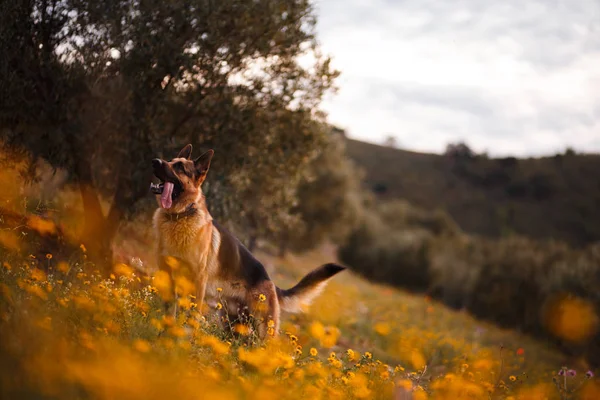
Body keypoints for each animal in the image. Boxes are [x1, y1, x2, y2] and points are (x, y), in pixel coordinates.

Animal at [152, 144, 344, 338]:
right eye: (170, 160)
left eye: (180, 168)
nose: (155, 161)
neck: (178, 217)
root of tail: (270, 282)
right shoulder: (167, 277)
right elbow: (169, 311)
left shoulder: (197, 282)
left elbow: (193, 315)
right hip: (233, 325)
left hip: (263, 330)